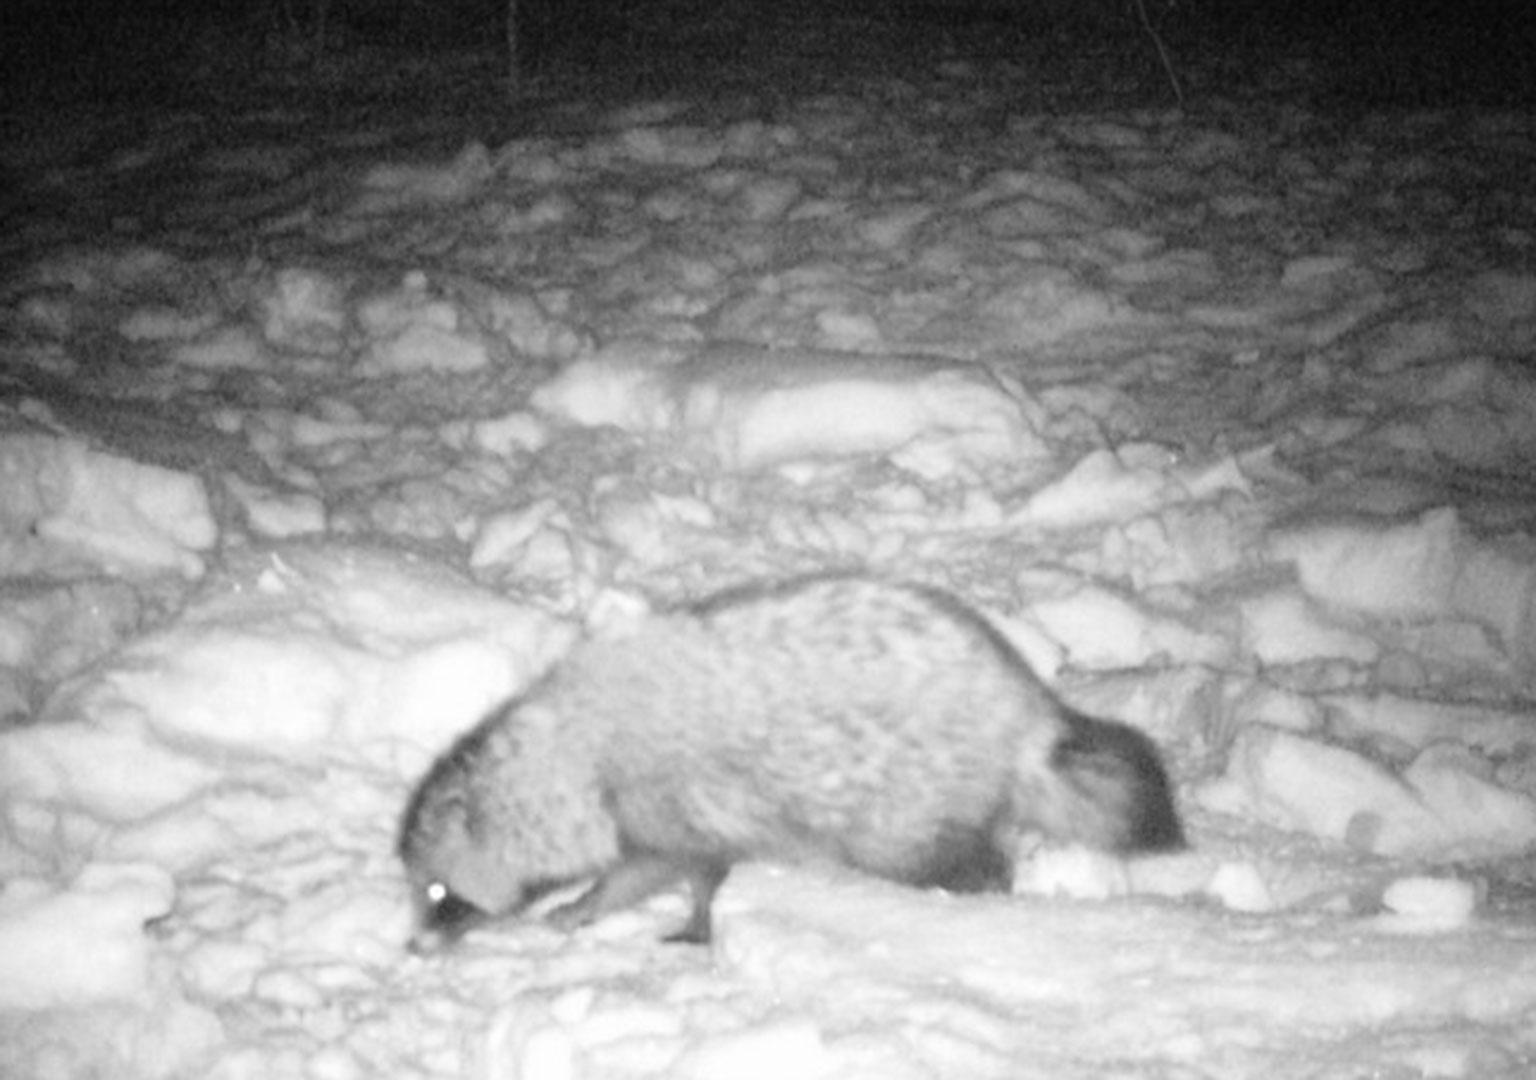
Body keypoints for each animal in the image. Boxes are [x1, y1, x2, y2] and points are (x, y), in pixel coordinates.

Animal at [393, 571, 1173, 952]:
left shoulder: (657, 798)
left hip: (908, 802)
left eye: (438, 891)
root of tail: (1023, 711)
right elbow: (704, 869)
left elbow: (655, 869)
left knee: (950, 858)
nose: (413, 949)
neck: (563, 752)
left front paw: (588, 908)